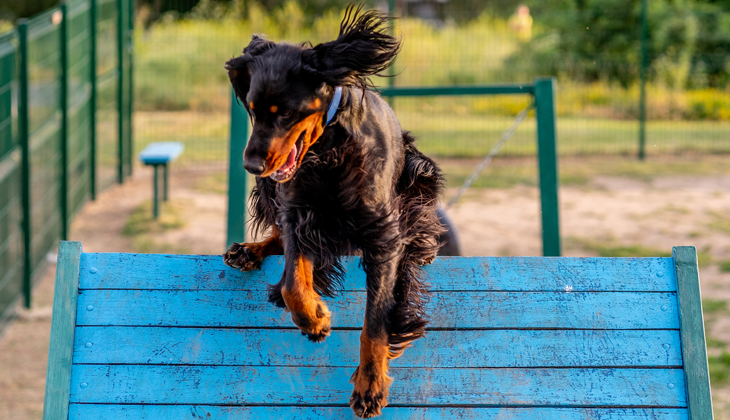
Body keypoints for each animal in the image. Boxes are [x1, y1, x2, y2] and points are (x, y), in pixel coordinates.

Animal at [222, 5, 440, 416]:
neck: (328, 151)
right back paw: (247, 252)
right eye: (254, 110)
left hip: (420, 172)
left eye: (284, 113)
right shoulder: (298, 214)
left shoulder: (383, 235)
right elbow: (293, 281)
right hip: (273, 192)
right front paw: (315, 319)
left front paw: (371, 385)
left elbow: (376, 319)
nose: (251, 165)